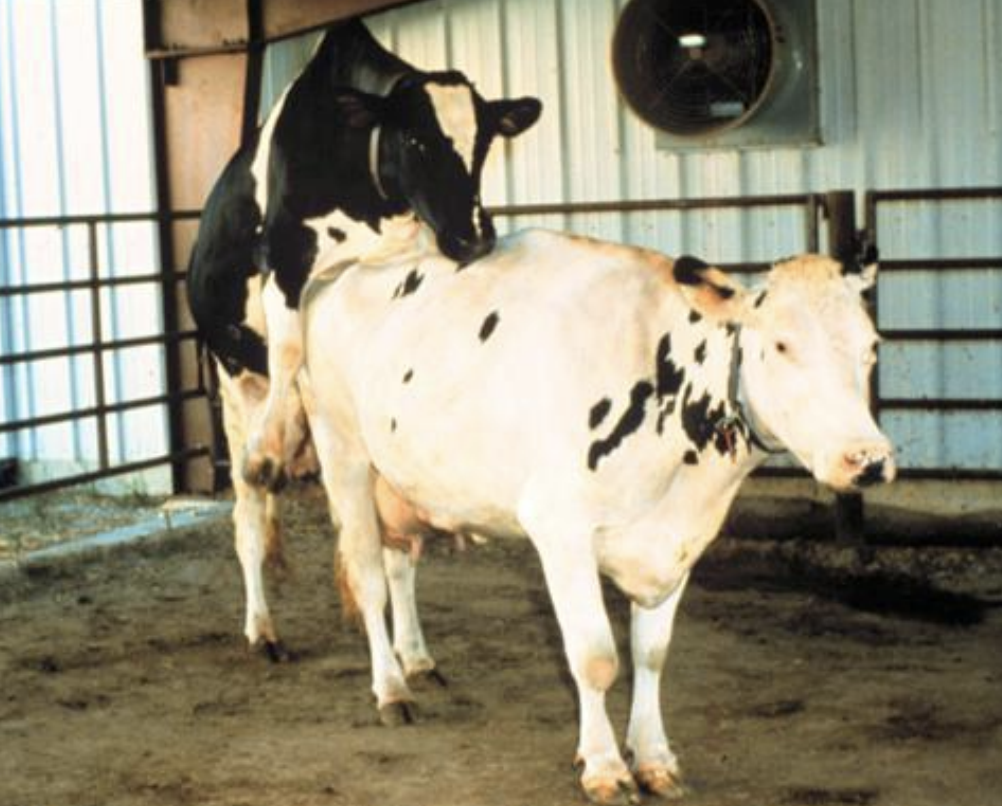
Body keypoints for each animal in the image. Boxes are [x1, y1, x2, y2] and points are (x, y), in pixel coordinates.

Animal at [180, 18, 541, 657]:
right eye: (417, 140)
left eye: (482, 143)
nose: (474, 236)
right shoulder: (285, 258)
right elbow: (289, 346)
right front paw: (272, 449)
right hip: (233, 380)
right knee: (248, 519)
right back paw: (261, 625)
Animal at [296, 229, 893, 801]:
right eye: (781, 343)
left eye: (872, 346)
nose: (866, 458)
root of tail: (346, 270)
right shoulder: (559, 529)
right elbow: (596, 657)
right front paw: (605, 767)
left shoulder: (676, 538)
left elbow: (650, 654)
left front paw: (654, 760)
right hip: (343, 455)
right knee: (369, 580)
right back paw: (391, 688)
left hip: (400, 479)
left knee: (400, 562)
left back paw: (417, 660)